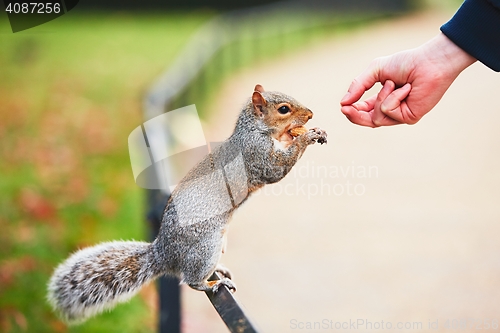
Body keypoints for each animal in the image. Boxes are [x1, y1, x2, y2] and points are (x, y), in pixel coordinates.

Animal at [47, 84, 328, 322]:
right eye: (284, 109)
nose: (311, 114)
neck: (253, 130)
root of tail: (164, 255)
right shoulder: (255, 154)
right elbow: (275, 168)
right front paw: (307, 137)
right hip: (205, 246)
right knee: (191, 280)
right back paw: (213, 283)